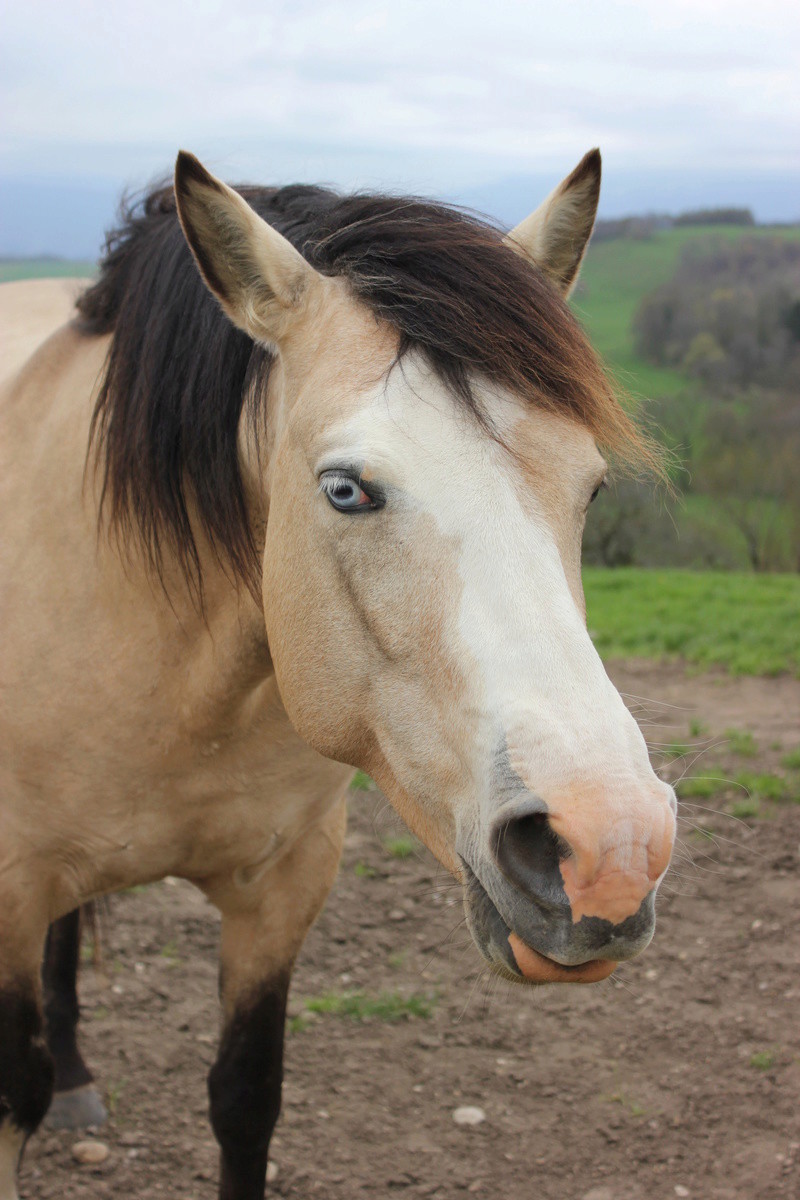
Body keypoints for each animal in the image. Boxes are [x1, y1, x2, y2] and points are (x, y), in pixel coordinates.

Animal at [0, 150, 676, 1200]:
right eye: (347, 489)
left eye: (592, 487)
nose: (609, 853)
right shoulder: (11, 891)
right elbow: (11, 1097)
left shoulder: (286, 886)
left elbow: (246, 1097)